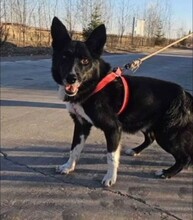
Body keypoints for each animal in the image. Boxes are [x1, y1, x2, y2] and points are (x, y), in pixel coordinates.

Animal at [51, 16, 193, 186]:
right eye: (64, 57)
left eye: (85, 61)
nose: (71, 78)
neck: (93, 85)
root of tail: (185, 94)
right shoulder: (81, 125)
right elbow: (74, 149)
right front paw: (68, 166)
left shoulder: (113, 128)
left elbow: (111, 156)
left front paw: (110, 178)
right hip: (144, 122)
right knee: (150, 138)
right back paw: (135, 150)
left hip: (166, 133)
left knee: (185, 157)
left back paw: (167, 172)